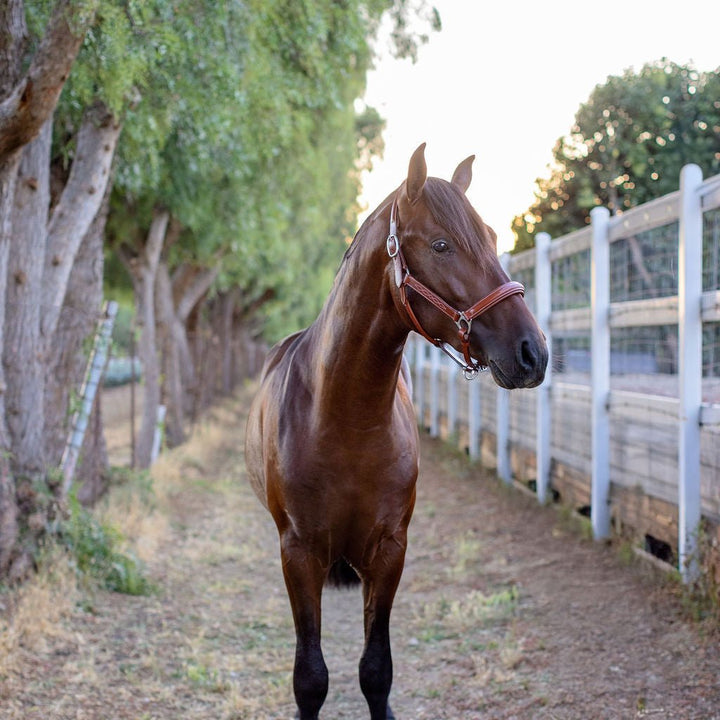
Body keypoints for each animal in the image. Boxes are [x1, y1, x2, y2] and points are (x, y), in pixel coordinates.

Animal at [244, 143, 548, 719]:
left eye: (493, 236)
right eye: (441, 244)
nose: (533, 352)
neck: (346, 420)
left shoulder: (389, 550)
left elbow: (375, 671)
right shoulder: (299, 553)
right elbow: (310, 678)